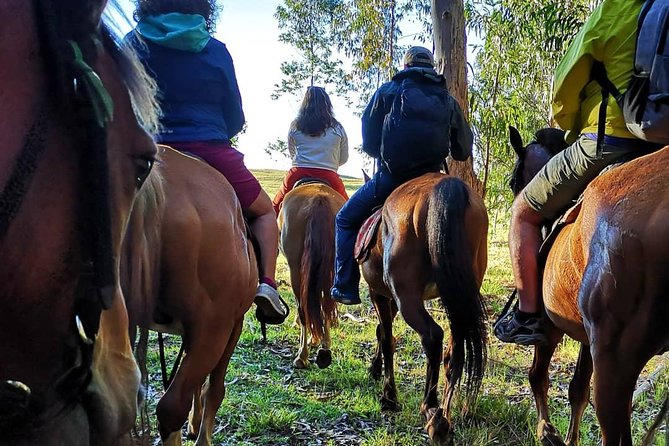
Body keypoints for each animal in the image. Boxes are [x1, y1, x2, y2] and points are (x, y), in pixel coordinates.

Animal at [276, 181, 344, 370]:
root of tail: (318, 200)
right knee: (325, 303)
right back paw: (325, 347)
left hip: (295, 270)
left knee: (303, 307)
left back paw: (302, 355)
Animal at [360, 172, 486, 444]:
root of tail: (446, 185)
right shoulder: (389, 298)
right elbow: (382, 332)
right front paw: (375, 369)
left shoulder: (380, 294)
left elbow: (386, 337)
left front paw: (388, 396)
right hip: (458, 296)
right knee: (454, 349)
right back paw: (444, 415)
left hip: (408, 298)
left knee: (432, 336)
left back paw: (432, 412)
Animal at [506, 126, 668, 446]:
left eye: (514, 182)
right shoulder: (586, 335)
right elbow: (578, 389)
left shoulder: (552, 328)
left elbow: (537, 376)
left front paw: (547, 432)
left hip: (613, 360)